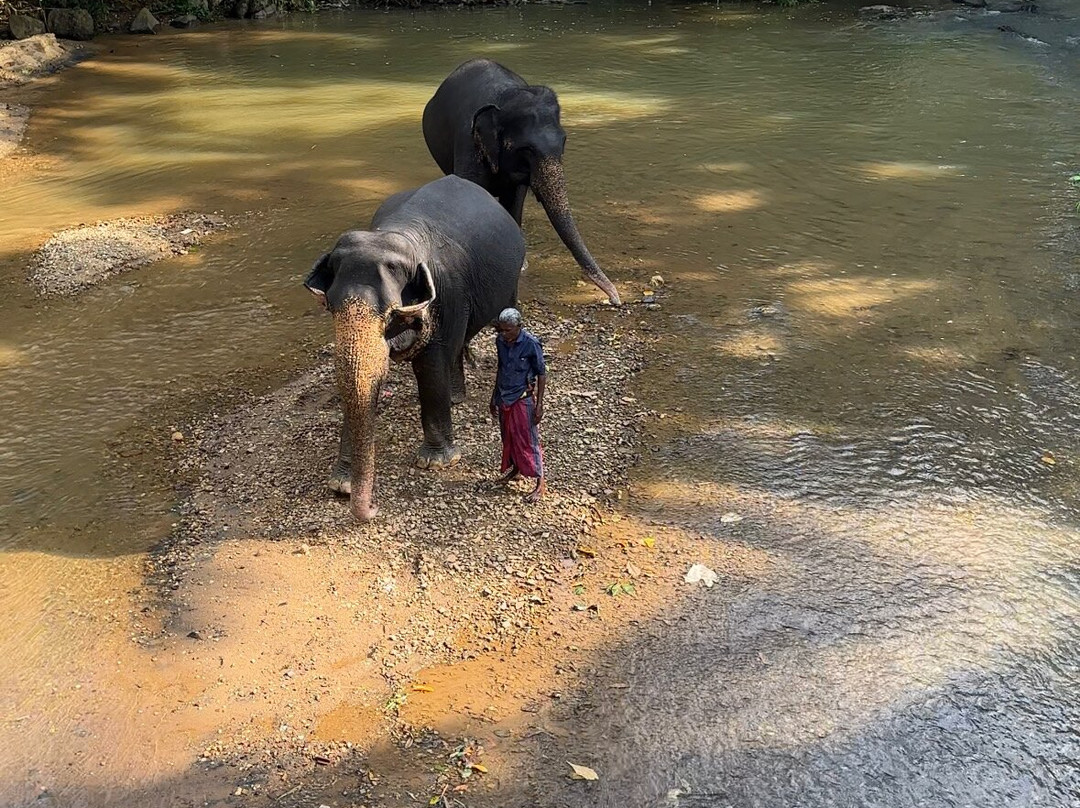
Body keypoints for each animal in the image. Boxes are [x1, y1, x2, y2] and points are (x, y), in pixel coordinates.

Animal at [304, 175, 526, 522]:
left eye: (389, 314)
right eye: (332, 308)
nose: (373, 507)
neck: (394, 234)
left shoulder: (447, 290)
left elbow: (430, 364)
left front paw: (436, 463)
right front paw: (341, 483)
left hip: (510, 279)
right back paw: (456, 397)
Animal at [422, 58, 621, 306]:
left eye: (564, 142)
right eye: (527, 149)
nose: (615, 299)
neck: (505, 98)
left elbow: (515, 200)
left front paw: (521, 264)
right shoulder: (468, 145)